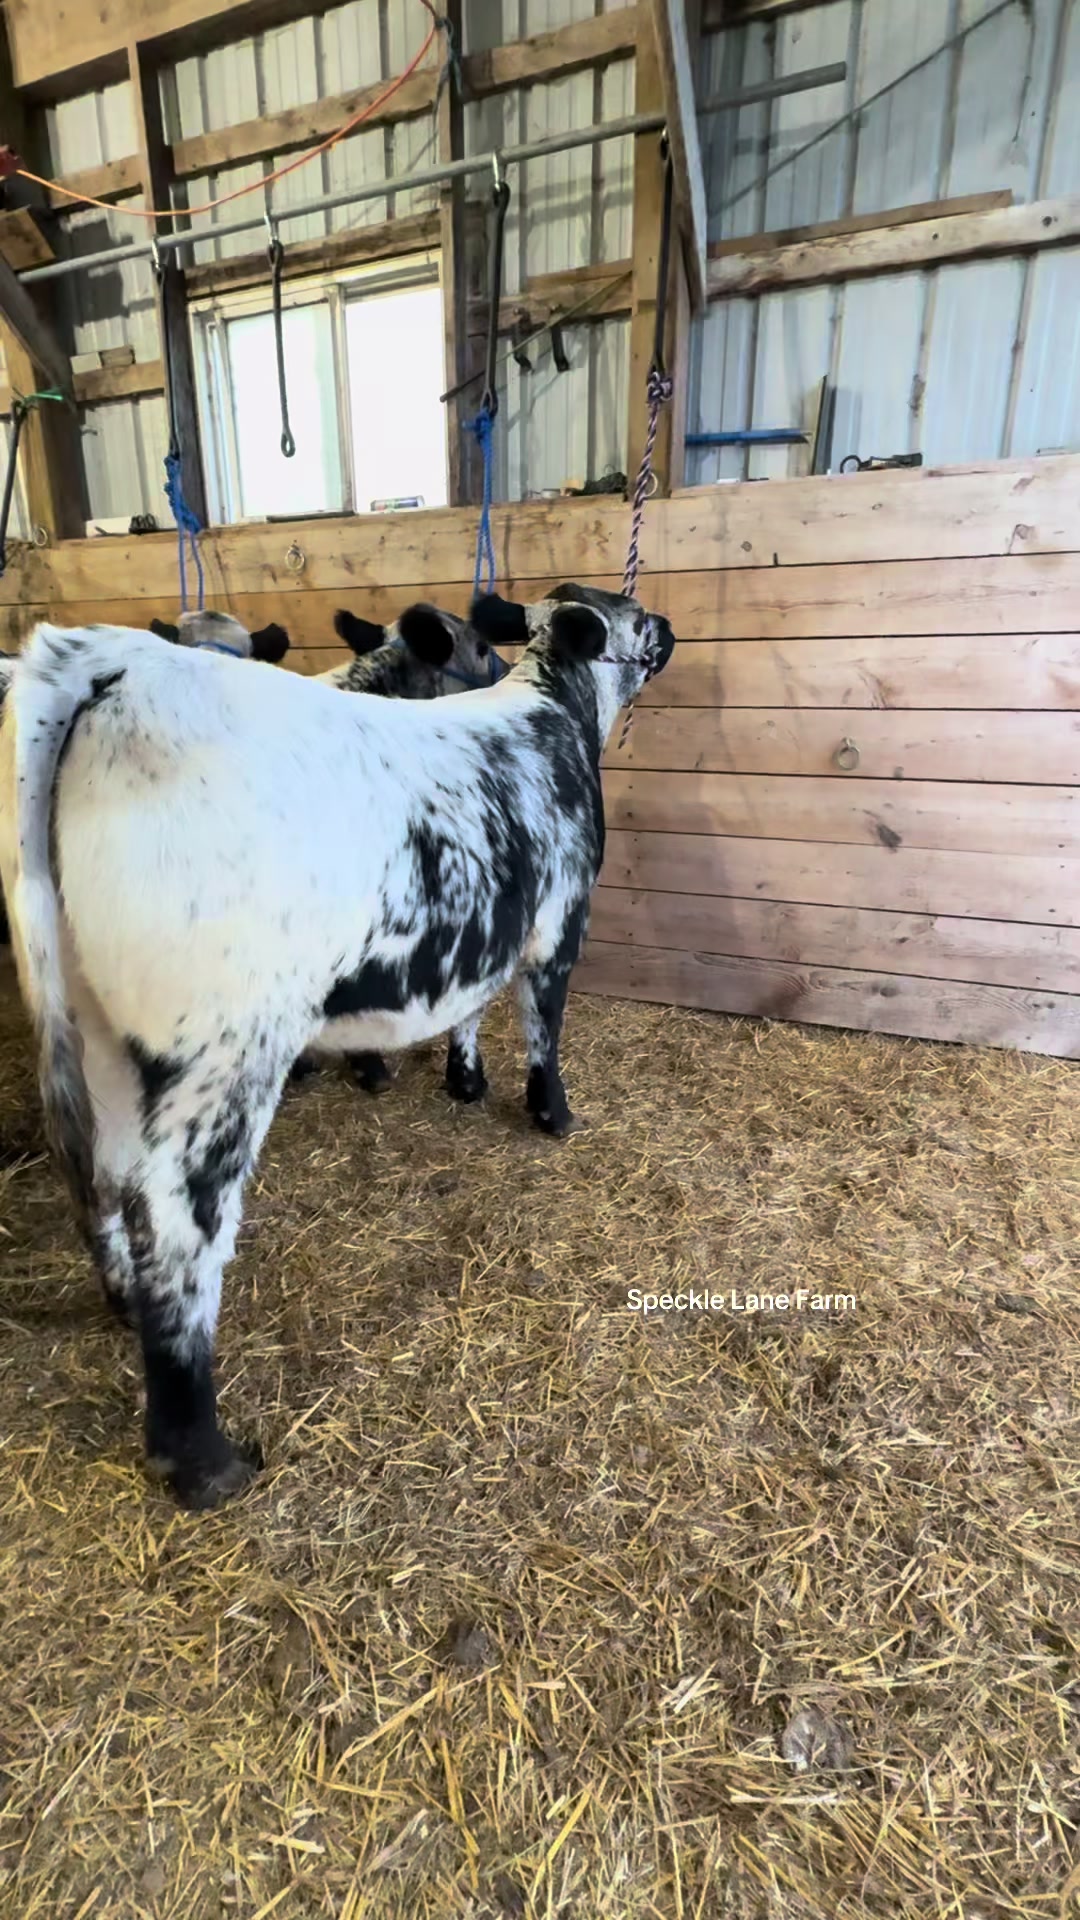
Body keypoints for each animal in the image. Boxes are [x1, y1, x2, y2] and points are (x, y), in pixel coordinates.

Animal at [0, 584, 673, 1509]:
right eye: (635, 613)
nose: (670, 628)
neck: (552, 709)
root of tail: (112, 659)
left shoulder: (484, 926)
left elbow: (470, 1006)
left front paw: (464, 1081)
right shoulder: (561, 915)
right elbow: (543, 1022)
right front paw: (553, 1114)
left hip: (92, 1024)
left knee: (96, 1169)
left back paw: (121, 1302)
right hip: (226, 1047)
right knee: (177, 1222)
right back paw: (203, 1459)